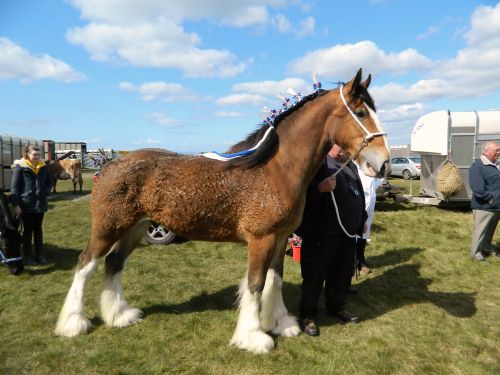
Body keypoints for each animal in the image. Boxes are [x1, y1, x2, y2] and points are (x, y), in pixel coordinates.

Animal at [54, 69, 390, 354]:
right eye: (361, 112)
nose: (384, 163)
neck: (275, 170)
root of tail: (110, 164)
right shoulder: (261, 240)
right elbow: (255, 284)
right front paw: (254, 337)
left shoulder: (281, 238)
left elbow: (275, 279)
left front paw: (281, 324)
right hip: (109, 227)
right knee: (85, 264)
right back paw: (73, 323)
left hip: (136, 227)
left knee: (114, 263)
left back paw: (121, 315)